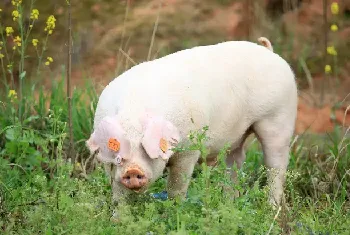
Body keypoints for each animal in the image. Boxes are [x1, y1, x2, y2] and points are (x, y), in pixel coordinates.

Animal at [86, 37, 296, 207]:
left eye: (147, 149)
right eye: (118, 150)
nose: (132, 171)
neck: (134, 112)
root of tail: (270, 52)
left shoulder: (188, 150)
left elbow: (176, 187)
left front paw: (175, 210)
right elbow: (118, 194)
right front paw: (118, 220)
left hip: (279, 117)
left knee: (276, 165)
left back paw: (270, 209)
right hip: (237, 136)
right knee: (235, 163)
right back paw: (228, 204)